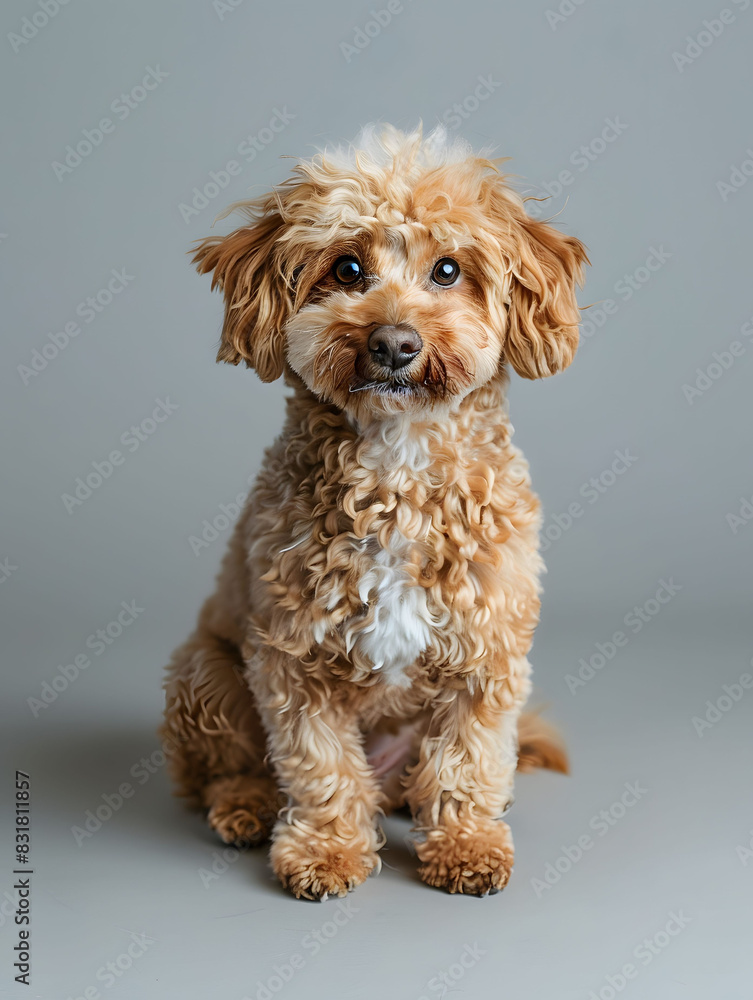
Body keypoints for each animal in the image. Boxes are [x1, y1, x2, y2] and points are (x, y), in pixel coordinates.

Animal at [162, 123, 588, 900]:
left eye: (447, 270)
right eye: (347, 267)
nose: (392, 343)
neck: (398, 462)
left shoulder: (487, 652)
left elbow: (467, 759)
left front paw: (467, 845)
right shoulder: (292, 659)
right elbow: (320, 765)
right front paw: (326, 853)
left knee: (422, 779)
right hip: (201, 669)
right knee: (223, 767)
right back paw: (244, 805)